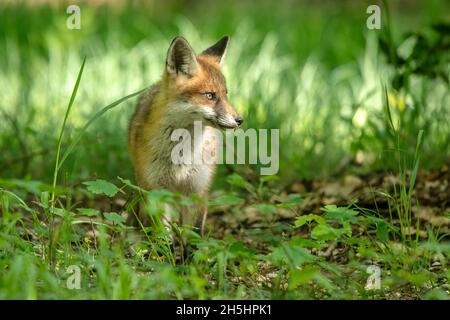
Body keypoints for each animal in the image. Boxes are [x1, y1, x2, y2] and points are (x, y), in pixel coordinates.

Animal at [128, 36, 243, 235]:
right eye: (210, 95)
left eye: (225, 94)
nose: (240, 120)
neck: (182, 155)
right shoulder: (156, 189)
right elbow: (162, 234)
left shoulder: (197, 189)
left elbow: (193, 234)